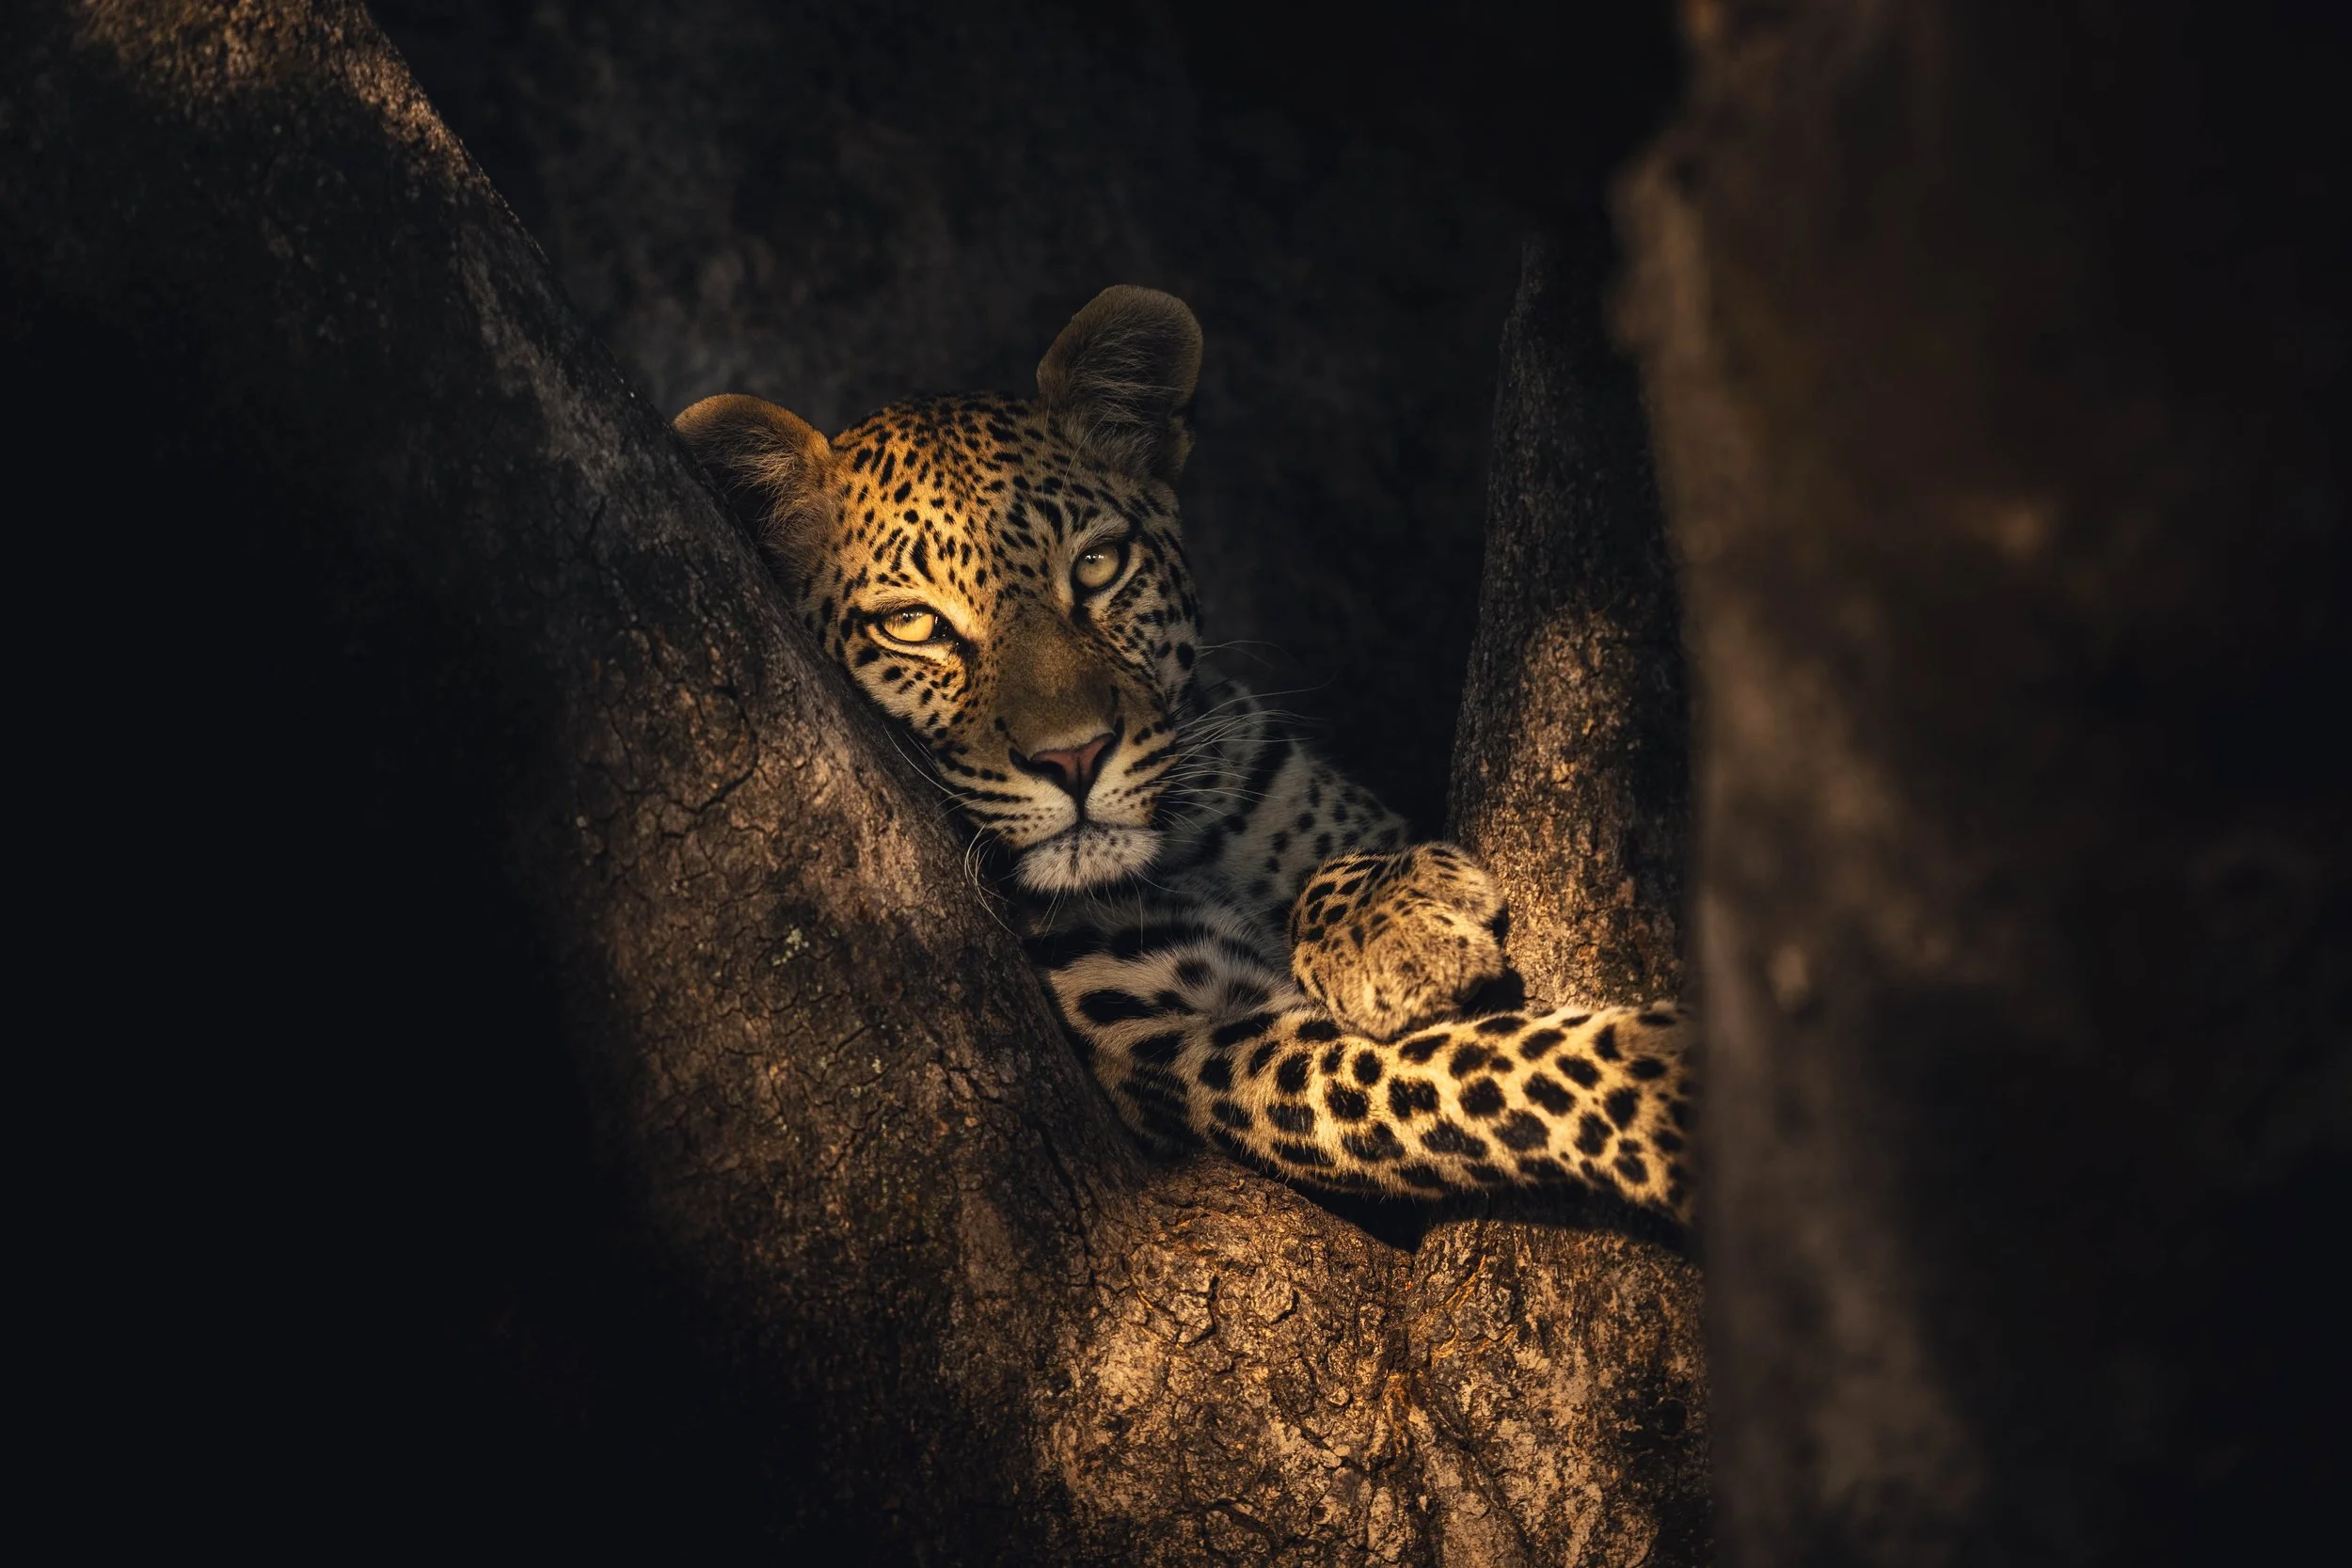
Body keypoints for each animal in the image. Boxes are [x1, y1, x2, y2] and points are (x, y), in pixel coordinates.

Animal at [675, 286, 1694, 1220]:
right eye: (913, 625)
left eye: (1096, 568)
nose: (1074, 758)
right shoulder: (1202, 1041)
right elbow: (1478, 1073)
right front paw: (1667, 1095)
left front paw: (1390, 919)